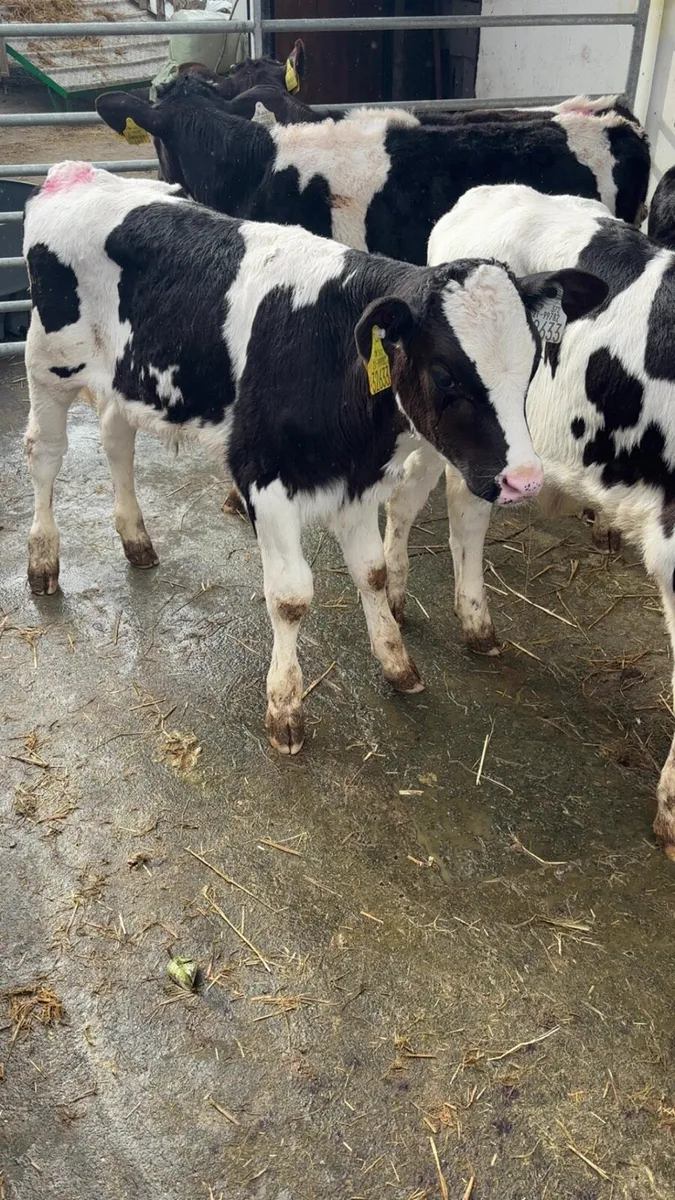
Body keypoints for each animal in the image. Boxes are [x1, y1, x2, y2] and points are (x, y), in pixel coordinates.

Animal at [22, 163, 604, 755]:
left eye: (532, 364)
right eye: (444, 374)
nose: (524, 480)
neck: (331, 351)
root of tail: (75, 174)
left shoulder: (357, 481)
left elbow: (371, 573)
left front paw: (396, 664)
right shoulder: (265, 479)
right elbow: (291, 597)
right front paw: (285, 708)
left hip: (124, 381)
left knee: (117, 442)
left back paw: (136, 540)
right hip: (49, 366)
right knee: (45, 457)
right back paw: (43, 561)